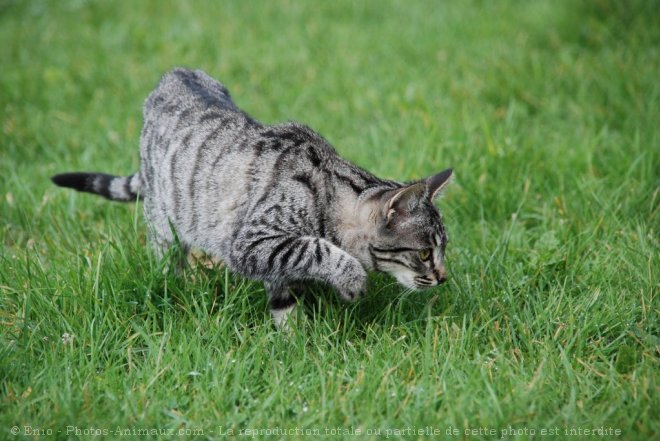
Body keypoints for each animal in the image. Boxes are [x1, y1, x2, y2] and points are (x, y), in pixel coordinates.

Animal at [52, 68, 454, 326]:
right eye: (424, 253)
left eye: (442, 249)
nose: (443, 277)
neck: (329, 194)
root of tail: (174, 73)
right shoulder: (252, 242)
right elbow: (318, 250)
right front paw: (351, 282)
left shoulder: (275, 260)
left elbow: (286, 297)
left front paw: (295, 341)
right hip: (165, 228)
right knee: (168, 262)